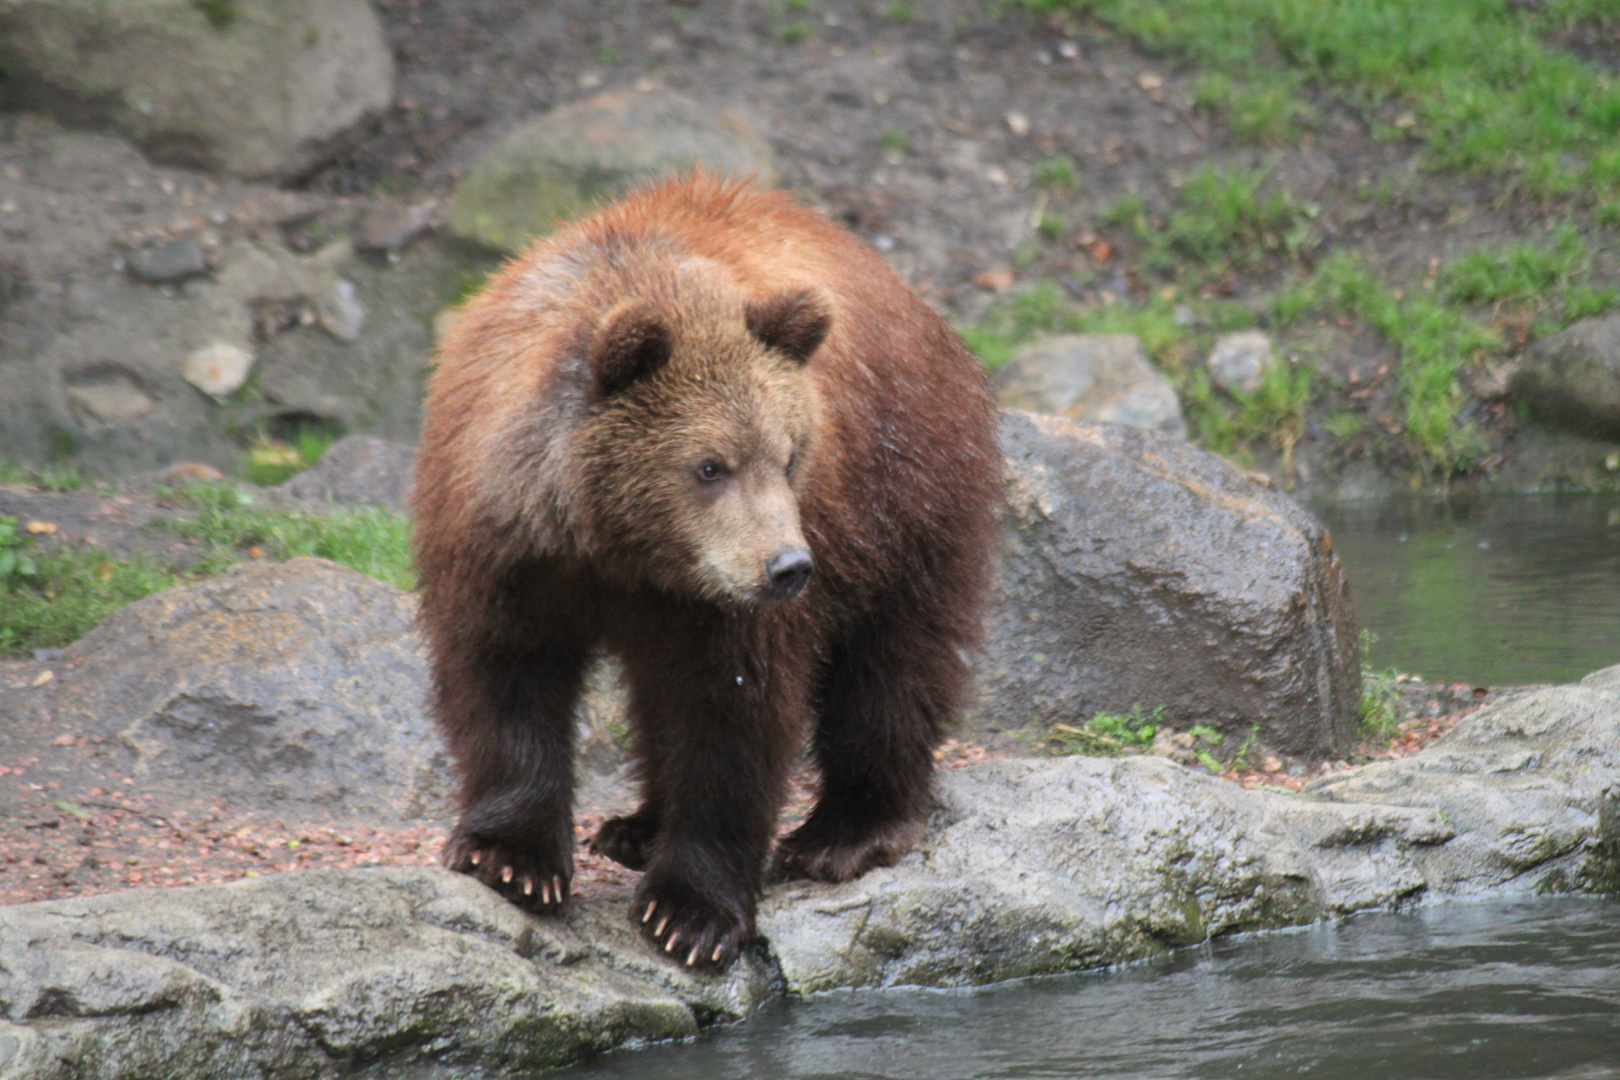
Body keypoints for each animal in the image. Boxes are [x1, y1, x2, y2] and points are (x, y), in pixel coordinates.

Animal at [408, 170, 997, 971]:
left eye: (788, 456)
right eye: (709, 465)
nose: (788, 567)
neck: (615, 546)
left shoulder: (732, 600)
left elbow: (732, 712)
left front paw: (689, 914)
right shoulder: (503, 546)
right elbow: (503, 673)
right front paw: (511, 858)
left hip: (904, 489)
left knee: (893, 664)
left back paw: (844, 833)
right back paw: (634, 826)